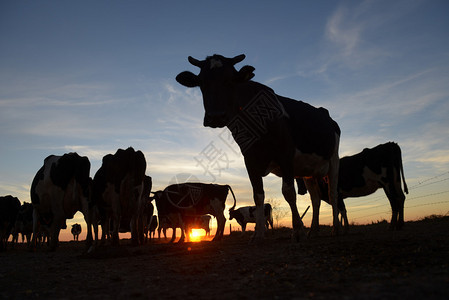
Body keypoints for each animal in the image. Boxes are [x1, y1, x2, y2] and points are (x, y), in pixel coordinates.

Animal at [175, 54, 340, 241]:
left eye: (231, 80)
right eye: (201, 82)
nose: (215, 116)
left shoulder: (285, 154)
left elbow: (288, 192)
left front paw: (298, 230)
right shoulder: (250, 160)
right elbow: (258, 195)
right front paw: (259, 233)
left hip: (334, 159)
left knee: (333, 193)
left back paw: (335, 228)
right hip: (308, 172)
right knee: (316, 198)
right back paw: (314, 230)